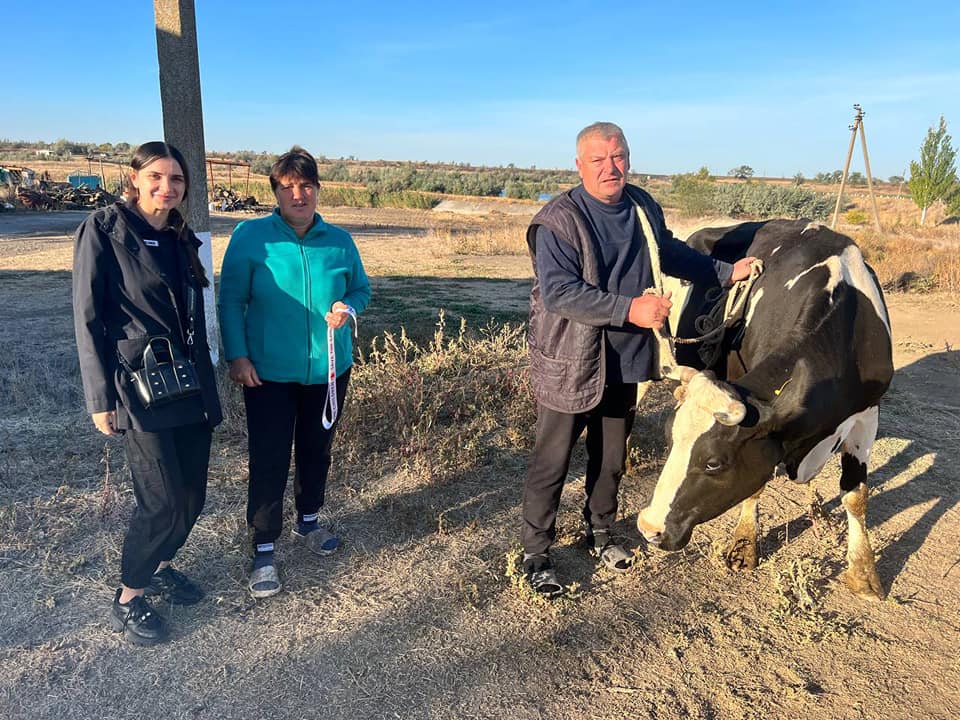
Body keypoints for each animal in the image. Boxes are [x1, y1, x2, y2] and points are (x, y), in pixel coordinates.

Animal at [636, 219, 892, 600]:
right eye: (670, 442)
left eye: (714, 462)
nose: (648, 527)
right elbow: (756, 485)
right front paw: (745, 544)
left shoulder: (867, 412)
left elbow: (856, 494)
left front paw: (864, 573)